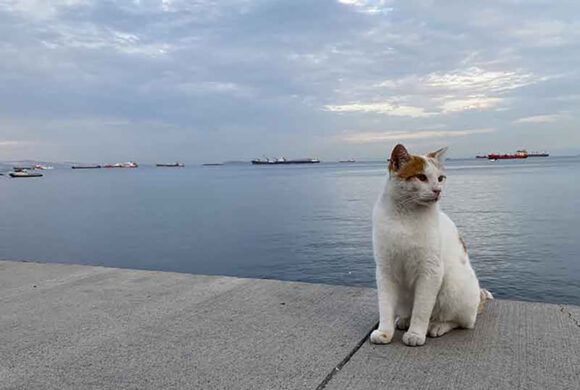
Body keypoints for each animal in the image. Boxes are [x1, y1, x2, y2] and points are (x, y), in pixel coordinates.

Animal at [370, 145, 492, 346]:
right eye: (421, 177)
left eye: (441, 178)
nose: (437, 190)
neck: (406, 216)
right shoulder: (385, 270)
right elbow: (385, 305)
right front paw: (385, 332)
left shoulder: (430, 271)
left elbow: (422, 308)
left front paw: (416, 333)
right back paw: (404, 319)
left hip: (453, 286)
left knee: (462, 321)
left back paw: (436, 325)